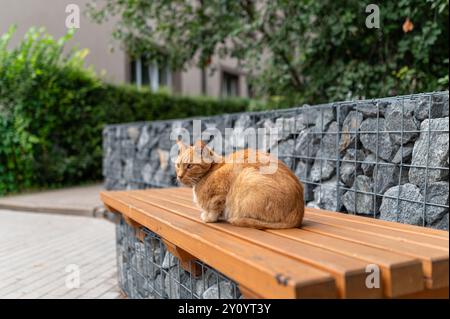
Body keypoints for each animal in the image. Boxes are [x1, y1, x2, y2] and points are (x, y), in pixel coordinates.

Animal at [174, 141, 304, 230]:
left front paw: (209, 218)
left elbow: (215, 209)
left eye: (189, 166)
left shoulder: (221, 193)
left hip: (246, 176)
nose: (179, 176)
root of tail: (298, 215)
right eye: (178, 165)